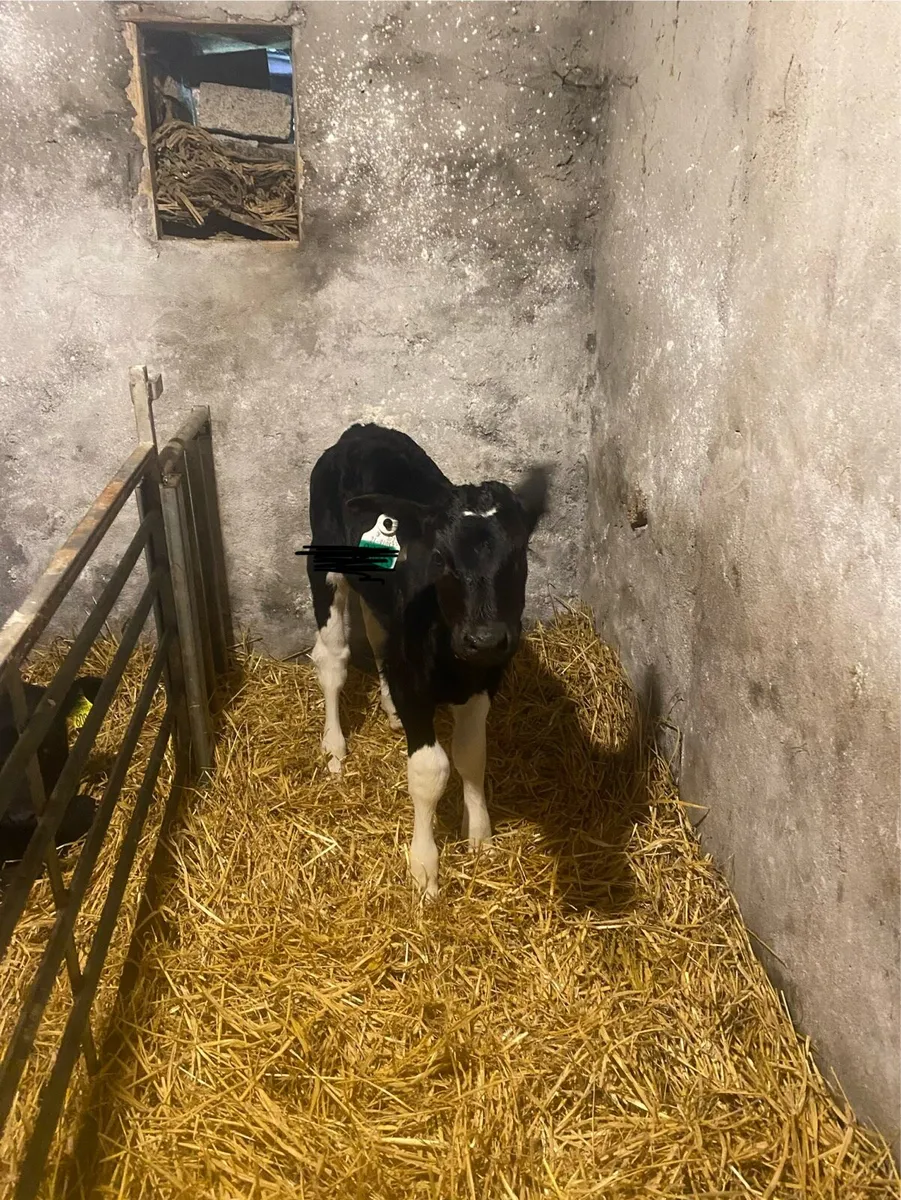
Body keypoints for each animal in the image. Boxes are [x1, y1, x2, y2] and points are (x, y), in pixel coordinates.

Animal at [306, 423, 549, 899]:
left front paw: (480, 836)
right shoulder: (415, 685)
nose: (484, 638)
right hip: (324, 564)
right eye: (440, 558)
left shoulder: (484, 680)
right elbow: (430, 769)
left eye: (518, 556)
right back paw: (334, 748)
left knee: (377, 632)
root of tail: (360, 431)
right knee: (333, 658)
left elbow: (472, 754)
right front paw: (425, 869)